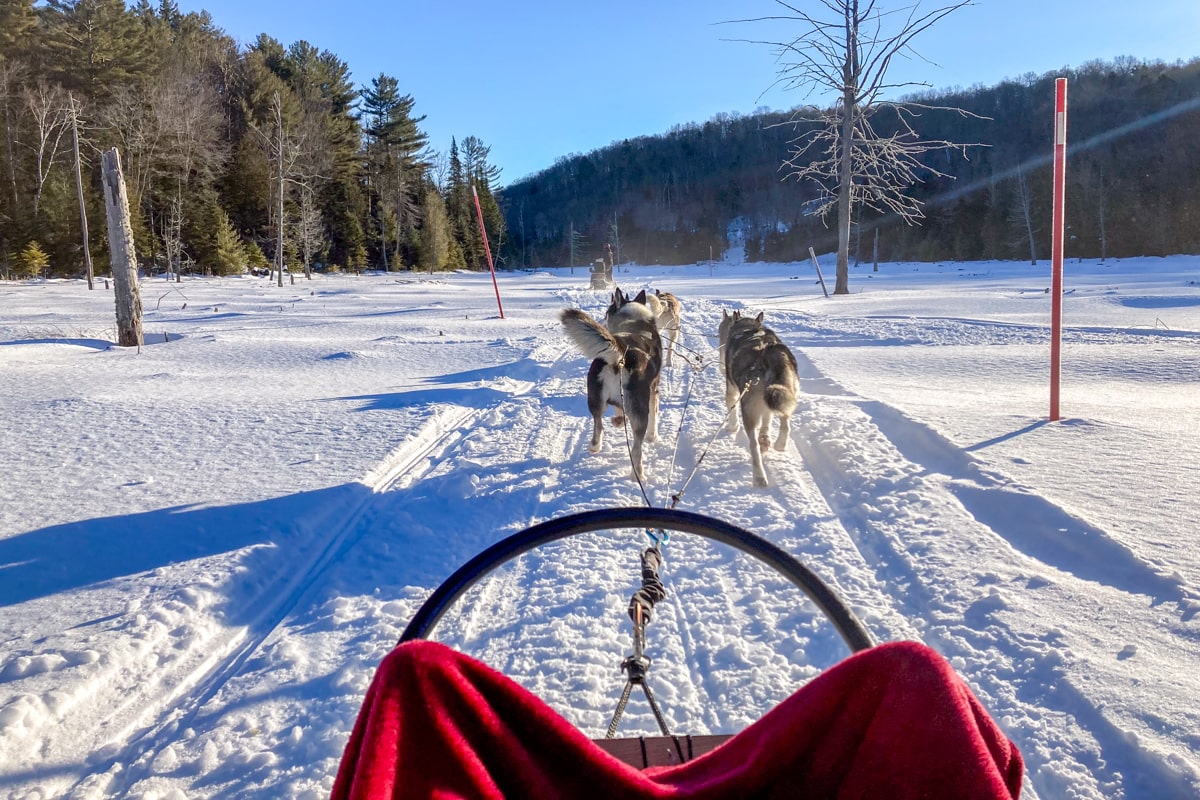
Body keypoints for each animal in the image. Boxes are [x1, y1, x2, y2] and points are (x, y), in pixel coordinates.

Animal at [561, 292, 667, 482]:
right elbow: (654, 416)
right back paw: (638, 475)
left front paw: (618, 420)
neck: (633, 322)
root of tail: (623, 352)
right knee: (636, 449)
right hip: (640, 413)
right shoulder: (654, 389)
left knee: (598, 425)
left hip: (595, 400)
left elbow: (618, 411)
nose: (602, 322)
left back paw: (596, 445)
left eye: (606, 313)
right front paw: (653, 437)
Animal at [720, 309, 796, 489]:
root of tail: (766, 350)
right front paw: (766, 437)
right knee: (785, 423)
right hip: (784, 395)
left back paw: (759, 476)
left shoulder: (732, 392)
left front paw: (732, 427)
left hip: (749, 410)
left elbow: (732, 411)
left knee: (753, 445)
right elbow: (767, 420)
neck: (748, 329)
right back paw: (779, 444)